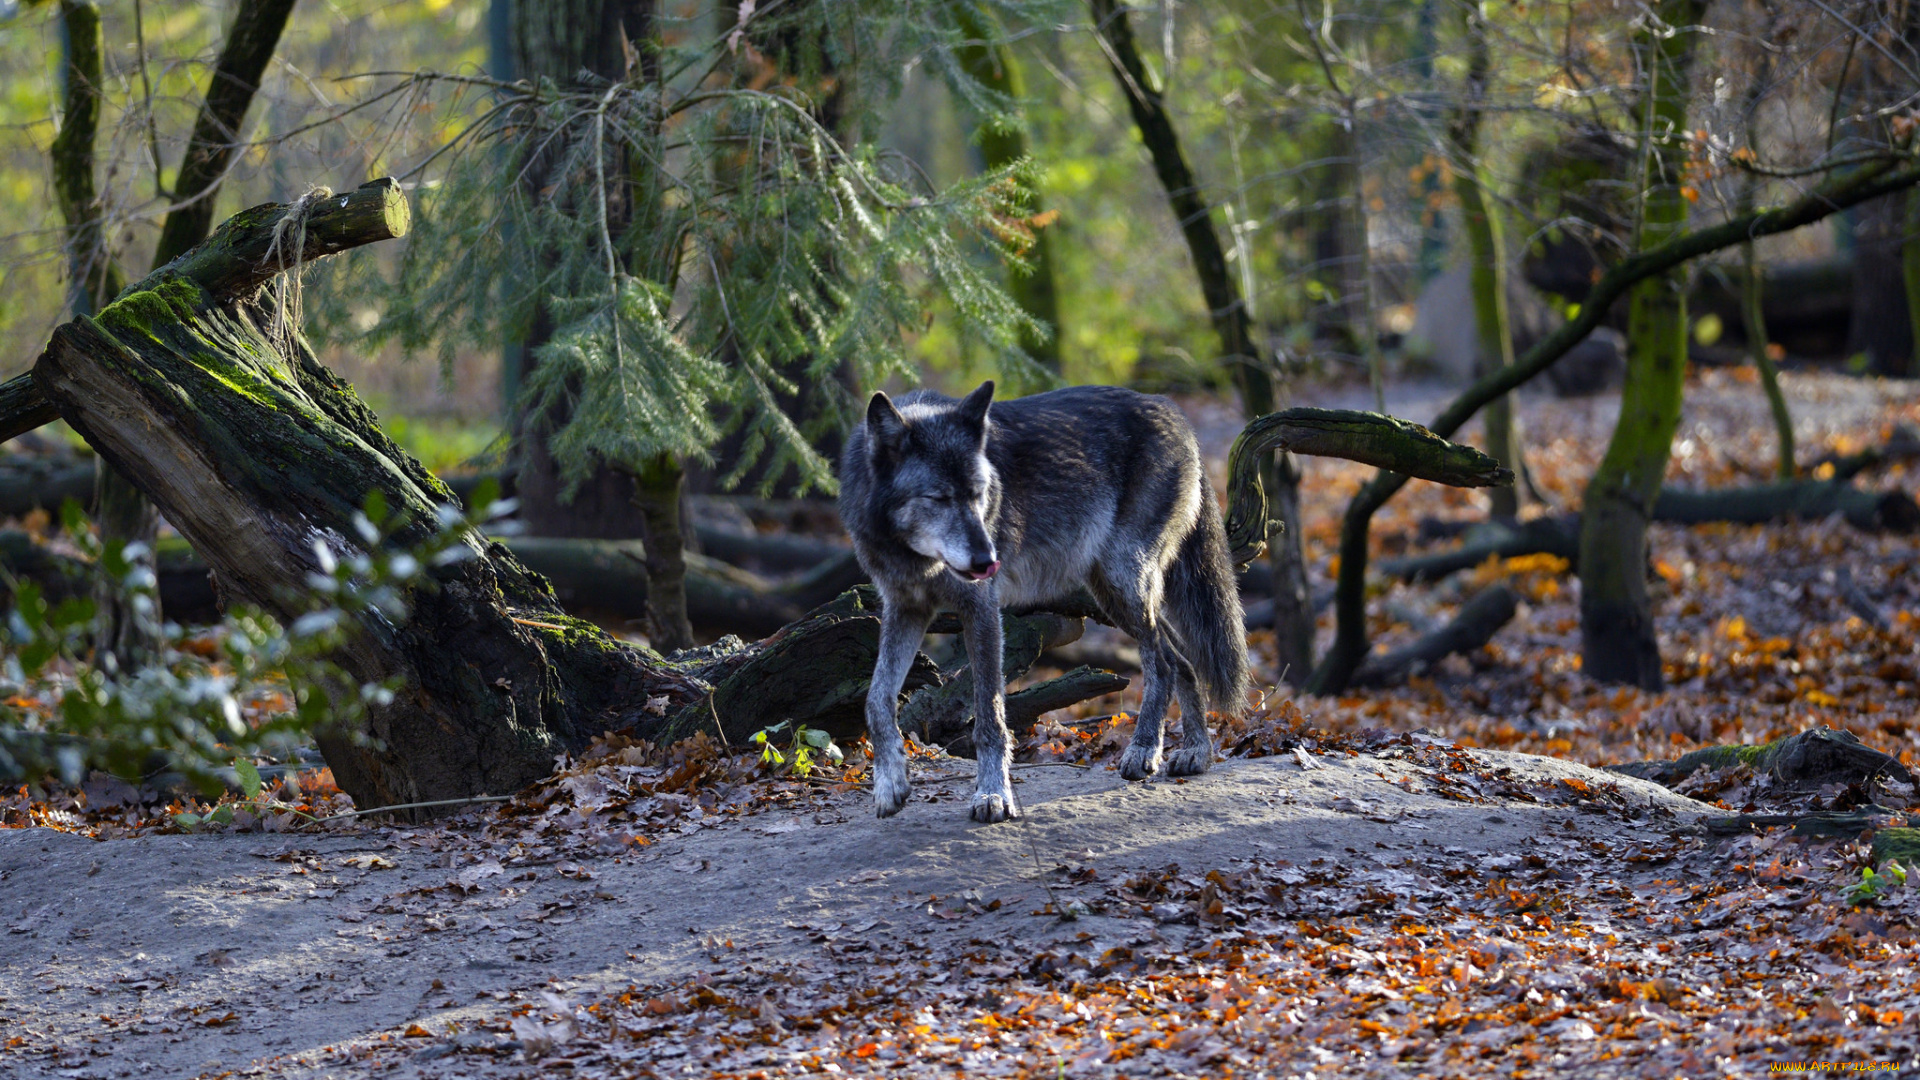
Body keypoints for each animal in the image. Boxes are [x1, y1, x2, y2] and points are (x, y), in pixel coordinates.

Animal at [837, 378, 1244, 814]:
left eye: (979, 494)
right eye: (939, 498)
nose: (988, 560)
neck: (914, 557)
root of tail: (1173, 411)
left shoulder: (981, 608)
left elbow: (990, 716)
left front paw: (993, 794)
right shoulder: (906, 609)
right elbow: (877, 700)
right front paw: (889, 783)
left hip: (1123, 582)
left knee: (1164, 664)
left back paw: (1144, 750)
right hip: (1112, 593)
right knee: (1183, 659)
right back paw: (1197, 753)